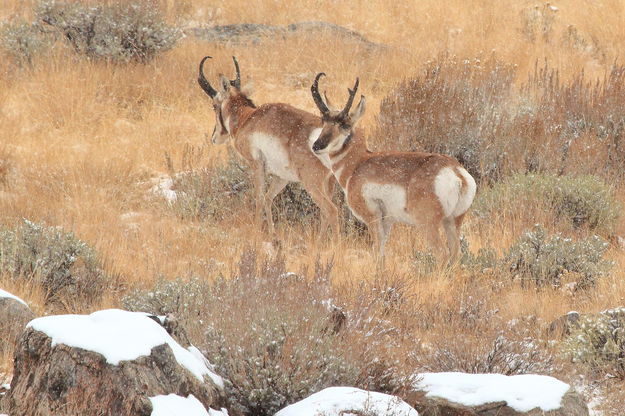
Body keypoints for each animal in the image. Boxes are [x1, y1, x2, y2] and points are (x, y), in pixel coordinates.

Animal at [197, 57, 338, 236]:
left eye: (214, 105)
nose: (214, 137)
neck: (248, 118)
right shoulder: (281, 176)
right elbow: (268, 198)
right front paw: (272, 232)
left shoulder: (256, 165)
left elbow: (259, 197)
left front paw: (257, 230)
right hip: (328, 185)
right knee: (326, 213)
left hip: (312, 184)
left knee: (331, 211)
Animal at [310, 74, 476, 264]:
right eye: (324, 120)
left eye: (345, 124)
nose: (317, 146)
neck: (358, 164)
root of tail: (455, 172)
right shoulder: (387, 221)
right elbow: (381, 253)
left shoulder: (372, 218)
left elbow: (376, 252)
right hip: (453, 221)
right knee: (456, 254)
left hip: (428, 224)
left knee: (442, 254)